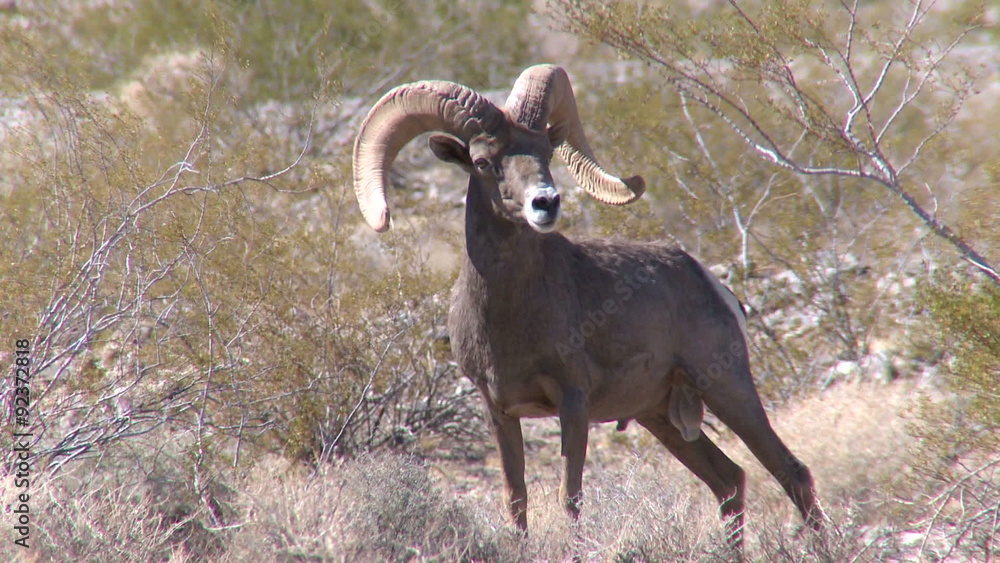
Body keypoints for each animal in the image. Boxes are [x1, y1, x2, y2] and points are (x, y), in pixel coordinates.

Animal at [351, 64, 825, 548]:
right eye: (483, 161)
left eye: (545, 151)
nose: (545, 202)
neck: (508, 318)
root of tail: (713, 285)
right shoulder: (498, 411)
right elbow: (516, 499)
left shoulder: (573, 403)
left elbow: (570, 498)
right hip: (661, 418)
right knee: (729, 481)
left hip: (727, 388)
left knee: (792, 472)